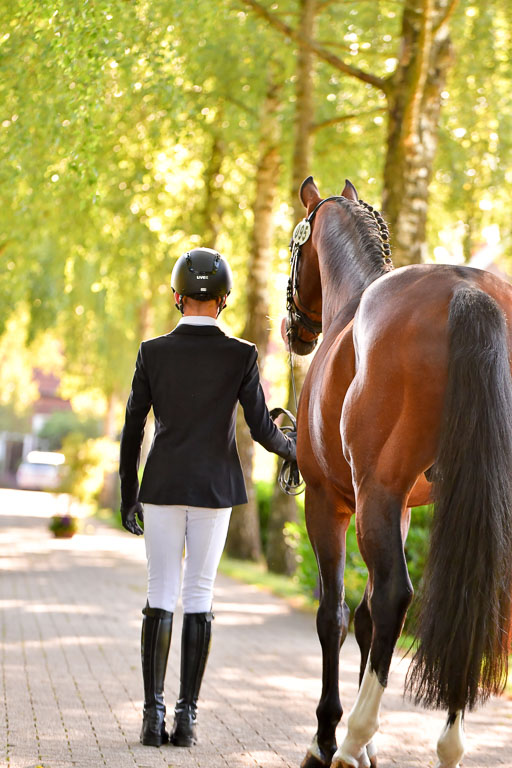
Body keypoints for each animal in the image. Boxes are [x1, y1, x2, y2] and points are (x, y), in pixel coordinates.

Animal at [282, 176, 512, 768]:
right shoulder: (406, 510)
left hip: (375, 494)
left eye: (294, 248)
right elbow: (363, 620)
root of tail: (467, 292)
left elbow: (337, 614)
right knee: (473, 602)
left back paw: (351, 739)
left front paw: (328, 736)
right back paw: (448, 743)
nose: (293, 330)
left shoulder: (332, 503)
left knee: (394, 596)